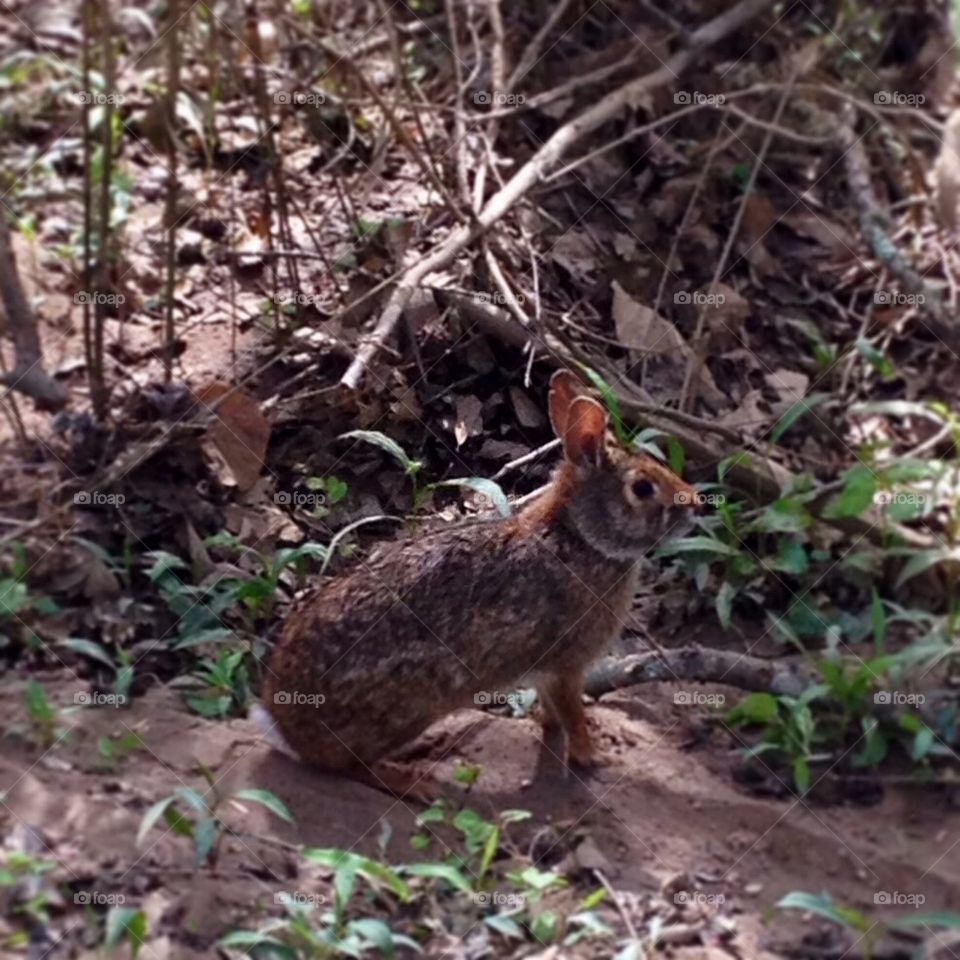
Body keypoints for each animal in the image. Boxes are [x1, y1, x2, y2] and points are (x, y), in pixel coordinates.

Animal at [255, 369, 699, 796]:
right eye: (642, 487)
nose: (693, 503)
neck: (581, 537)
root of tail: (284, 725)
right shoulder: (565, 664)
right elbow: (571, 712)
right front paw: (593, 756)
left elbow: (553, 711)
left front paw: (556, 731)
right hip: (412, 701)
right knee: (345, 765)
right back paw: (413, 781)